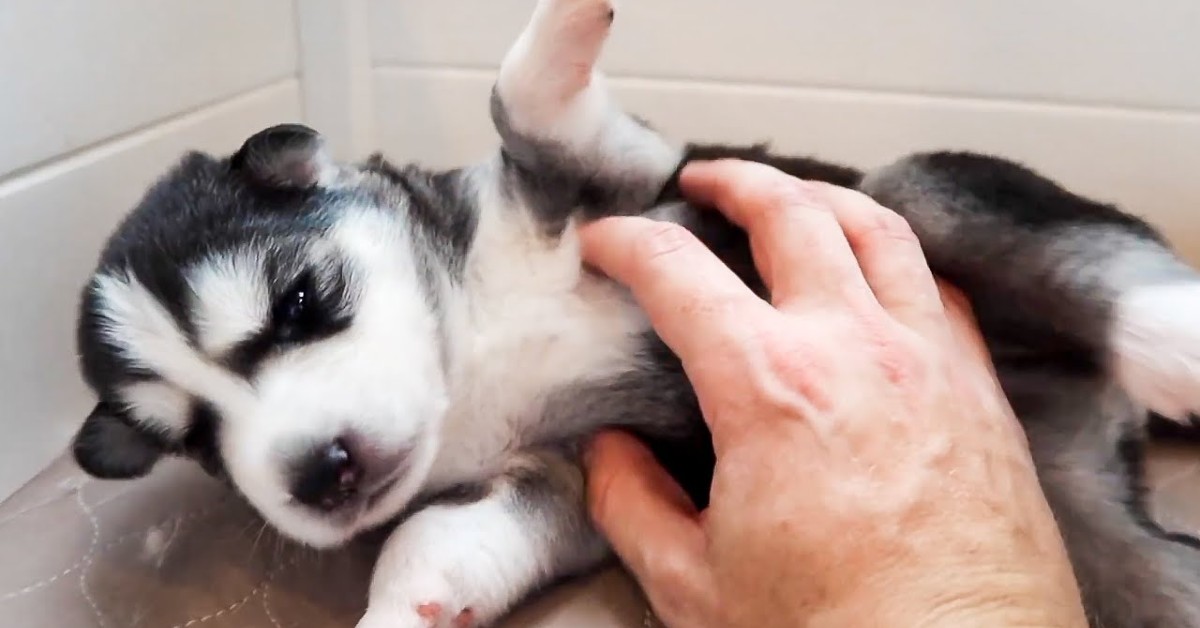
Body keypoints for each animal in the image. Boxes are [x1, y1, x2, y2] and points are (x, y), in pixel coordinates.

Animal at [72, 1, 1200, 628]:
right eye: (197, 439)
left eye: (301, 301)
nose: (318, 473)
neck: (471, 343)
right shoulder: (556, 481)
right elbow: (431, 546)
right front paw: (399, 614)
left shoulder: (618, 177)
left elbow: (524, 97)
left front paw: (567, 20)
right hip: (1085, 517)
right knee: (1158, 575)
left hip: (904, 191)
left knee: (1049, 238)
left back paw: (1175, 342)